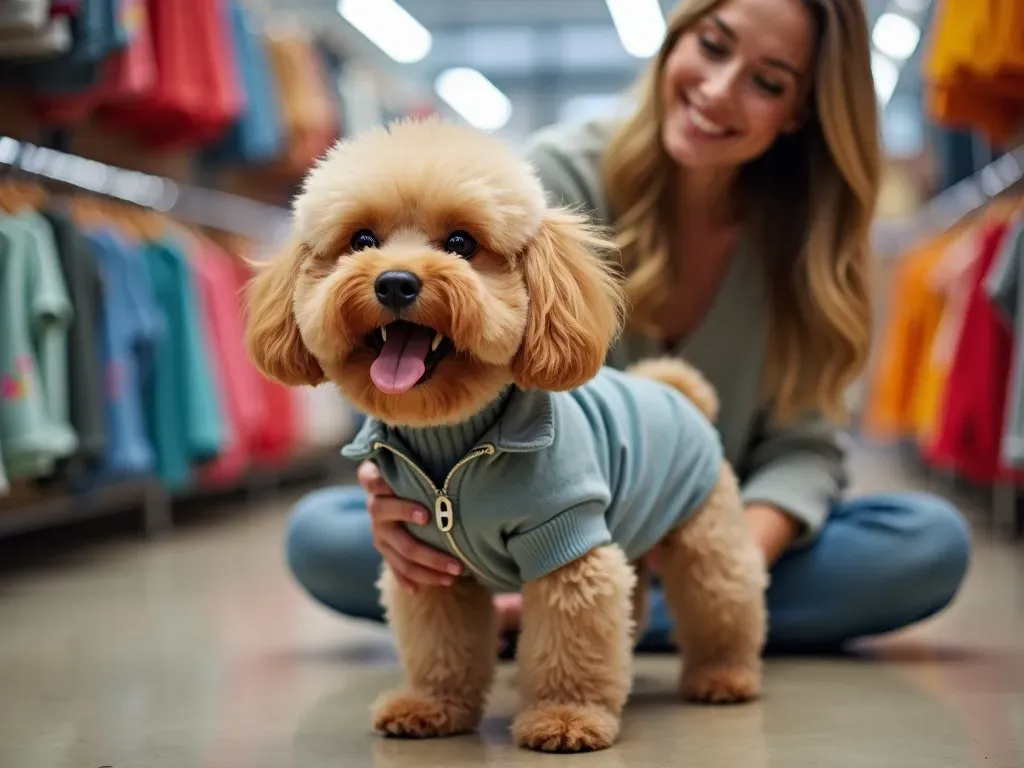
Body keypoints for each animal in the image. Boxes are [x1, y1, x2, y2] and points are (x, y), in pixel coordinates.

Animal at [243, 117, 765, 753]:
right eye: (362, 240)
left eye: (461, 243)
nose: (395, 283)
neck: (455, 447)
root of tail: (676, 389)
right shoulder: (429, 565)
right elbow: (442, 647)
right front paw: (432, 706)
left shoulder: (568, 544)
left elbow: (571, 640)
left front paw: (566, 716)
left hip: (706, 537)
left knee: (726, 601)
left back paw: (725, 677)